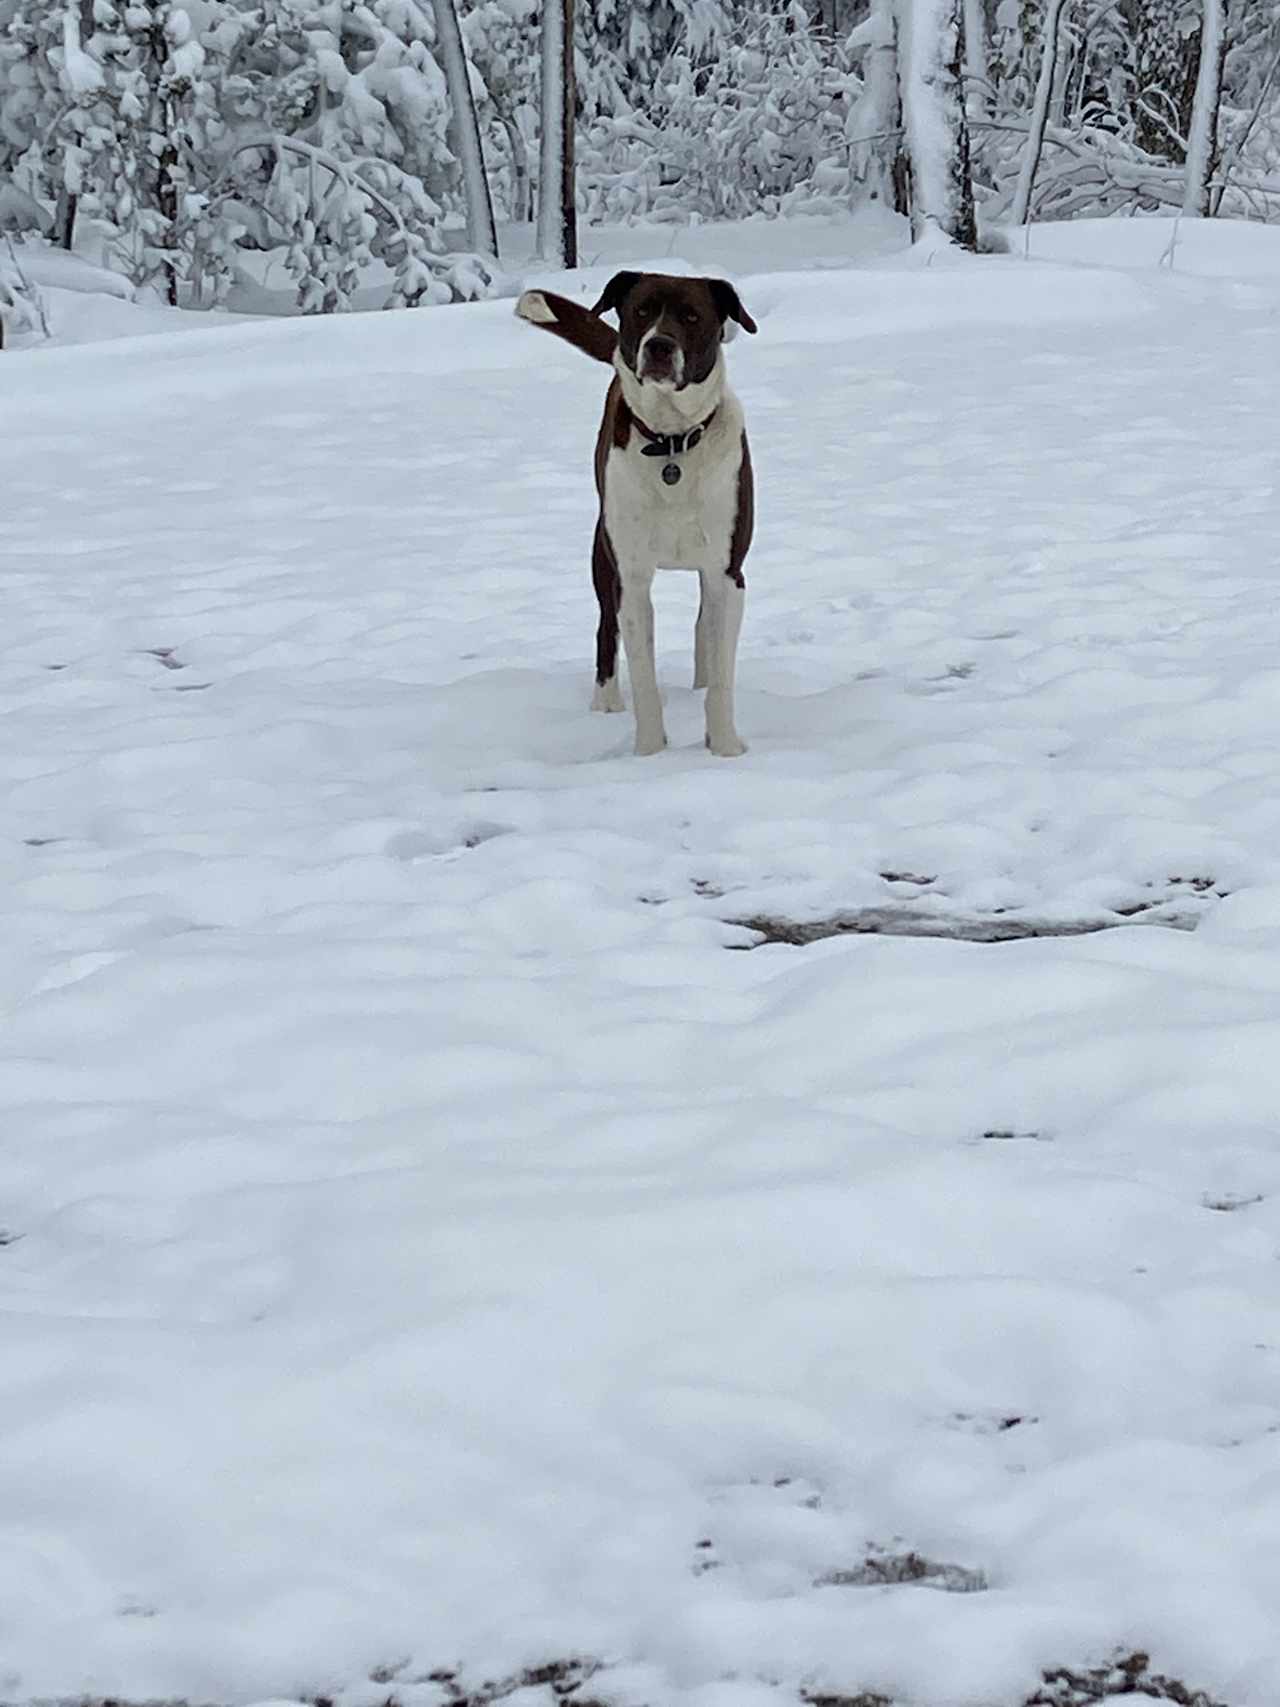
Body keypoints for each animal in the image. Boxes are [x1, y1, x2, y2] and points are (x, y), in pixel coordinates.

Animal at [515, 271, 757, 754]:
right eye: (642, 310)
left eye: (691, 315)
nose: (658, 346)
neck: (672, 442)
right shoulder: (631, 574)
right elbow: (643, 674)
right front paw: (650, 752)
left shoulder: (727, 571)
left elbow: (722, 669)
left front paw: (724, 747)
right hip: (601, 554)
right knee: (605, 628)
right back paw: (606, 700)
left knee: (703, 625)